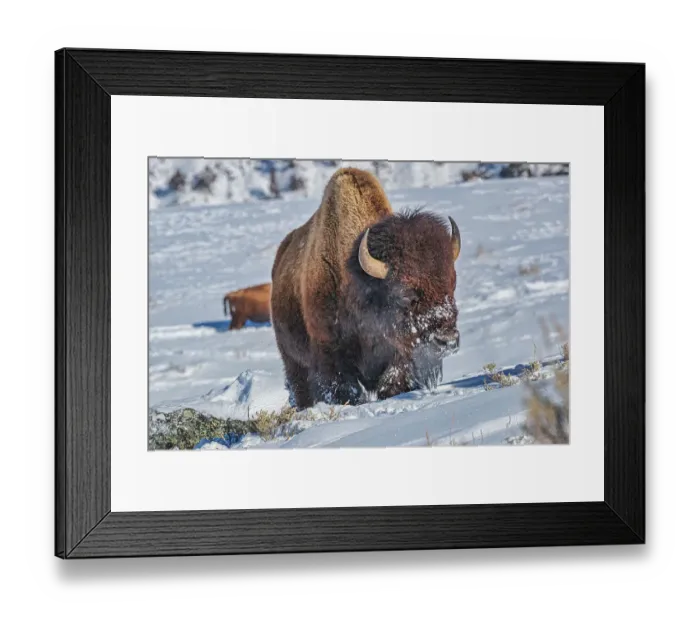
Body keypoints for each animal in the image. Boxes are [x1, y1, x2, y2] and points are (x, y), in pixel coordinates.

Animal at [271, 168, 461, 409]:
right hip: (293, 360)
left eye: (453, 283)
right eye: (404, 292)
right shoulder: (331, 355)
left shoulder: (399, 354)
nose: (448, 340)